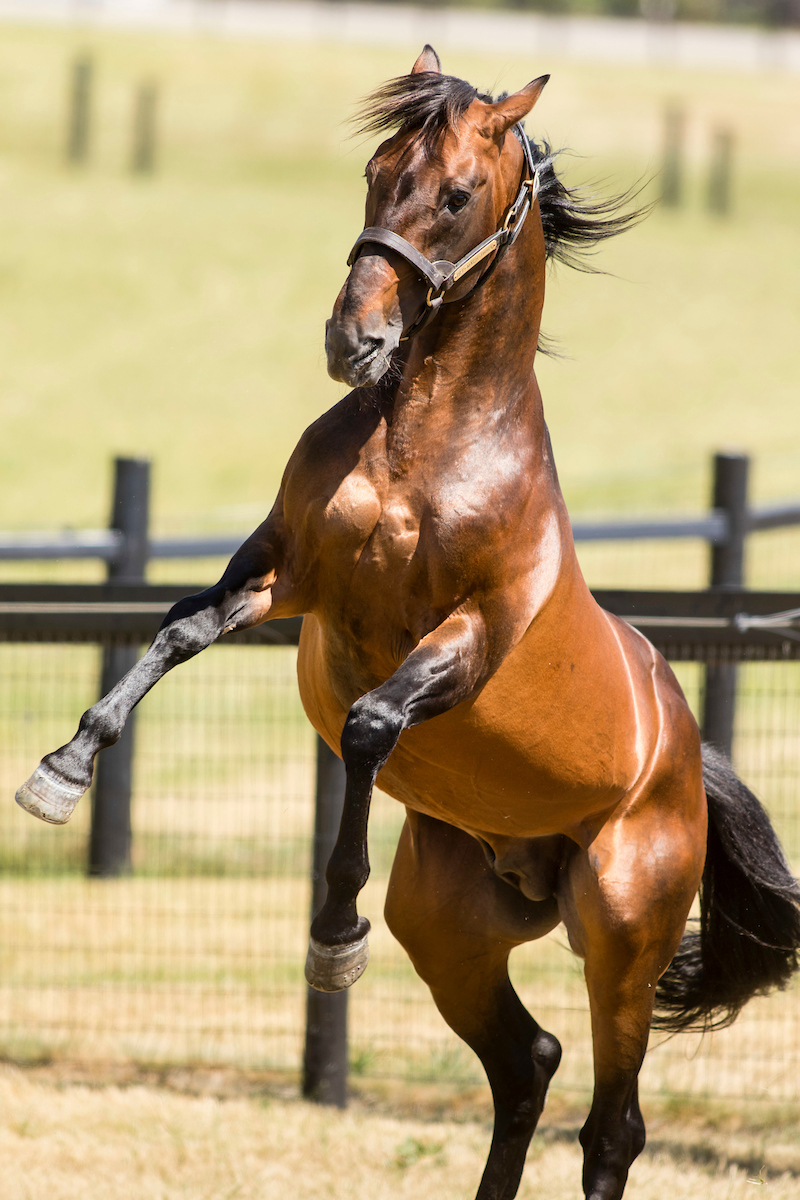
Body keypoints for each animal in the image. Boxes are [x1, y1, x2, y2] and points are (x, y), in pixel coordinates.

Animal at [16, 47, 800, 1200]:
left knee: (612, 1126)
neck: (422, 446)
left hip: (622, 936)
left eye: (458, 194)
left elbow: (368, 727)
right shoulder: (286, 573)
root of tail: (685, 758)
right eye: (376, 172)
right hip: (450, 930)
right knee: (527, 1065)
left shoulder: (467, 637)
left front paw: (332, 933)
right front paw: (61, 773)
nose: (354, 340)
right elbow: (174, 632)